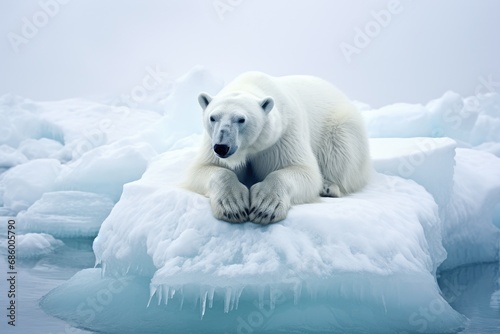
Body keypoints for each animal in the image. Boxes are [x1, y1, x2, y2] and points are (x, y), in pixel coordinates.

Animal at [185, 71, 372, 224]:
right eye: (213, 117)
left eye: (241, 119)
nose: (222, 147)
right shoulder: (210, 143)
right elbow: (203, 168)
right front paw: (234, 206)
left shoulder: (284, 135)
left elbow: (302, 170)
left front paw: (265, 207)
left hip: (341, 126)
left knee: (340, 154)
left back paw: (328, 186)